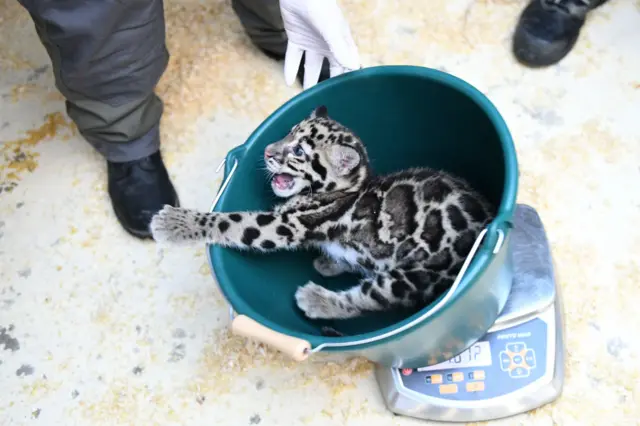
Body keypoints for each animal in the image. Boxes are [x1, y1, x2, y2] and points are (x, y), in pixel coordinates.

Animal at [150, 106, 495, 322]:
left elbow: (232, 221)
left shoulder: (285, 224)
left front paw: (177, 222)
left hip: (417, 273)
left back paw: (318, 300)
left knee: (369, 299)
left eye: (299, 151)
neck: (350, 187)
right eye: (289, 133)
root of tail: (490, 220)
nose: (267, 151)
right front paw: (331, 260)